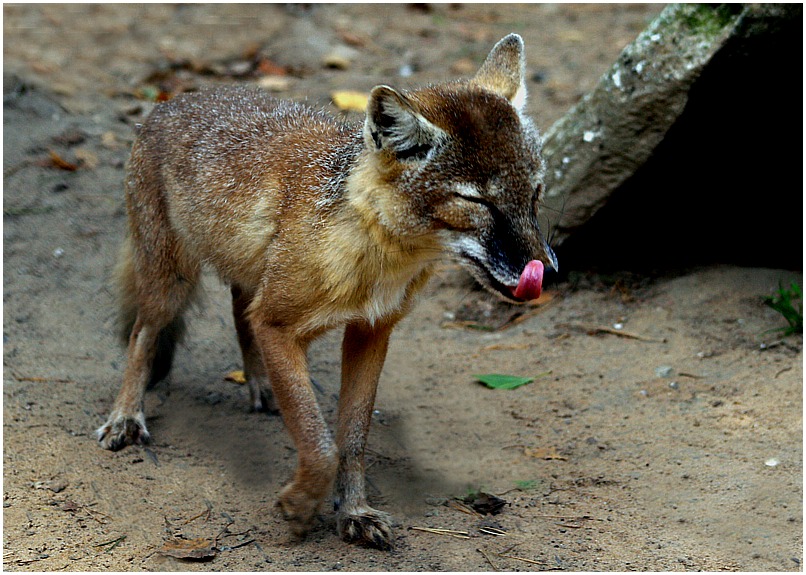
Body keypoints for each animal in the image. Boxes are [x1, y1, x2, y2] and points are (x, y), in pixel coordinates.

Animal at [96, 33, 556, 552]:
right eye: (476, 201)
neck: (376, 257)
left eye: (535, 193)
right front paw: (300, 506)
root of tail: (173, 100)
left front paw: (353, 511)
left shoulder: (371, 332)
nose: (546, 270)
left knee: (239, 311)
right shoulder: (278, 324)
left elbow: (352, 440)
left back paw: (260, 383)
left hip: (247, 279)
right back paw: (125, 416)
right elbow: (320, 445)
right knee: (143, 334)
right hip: (170, 284)